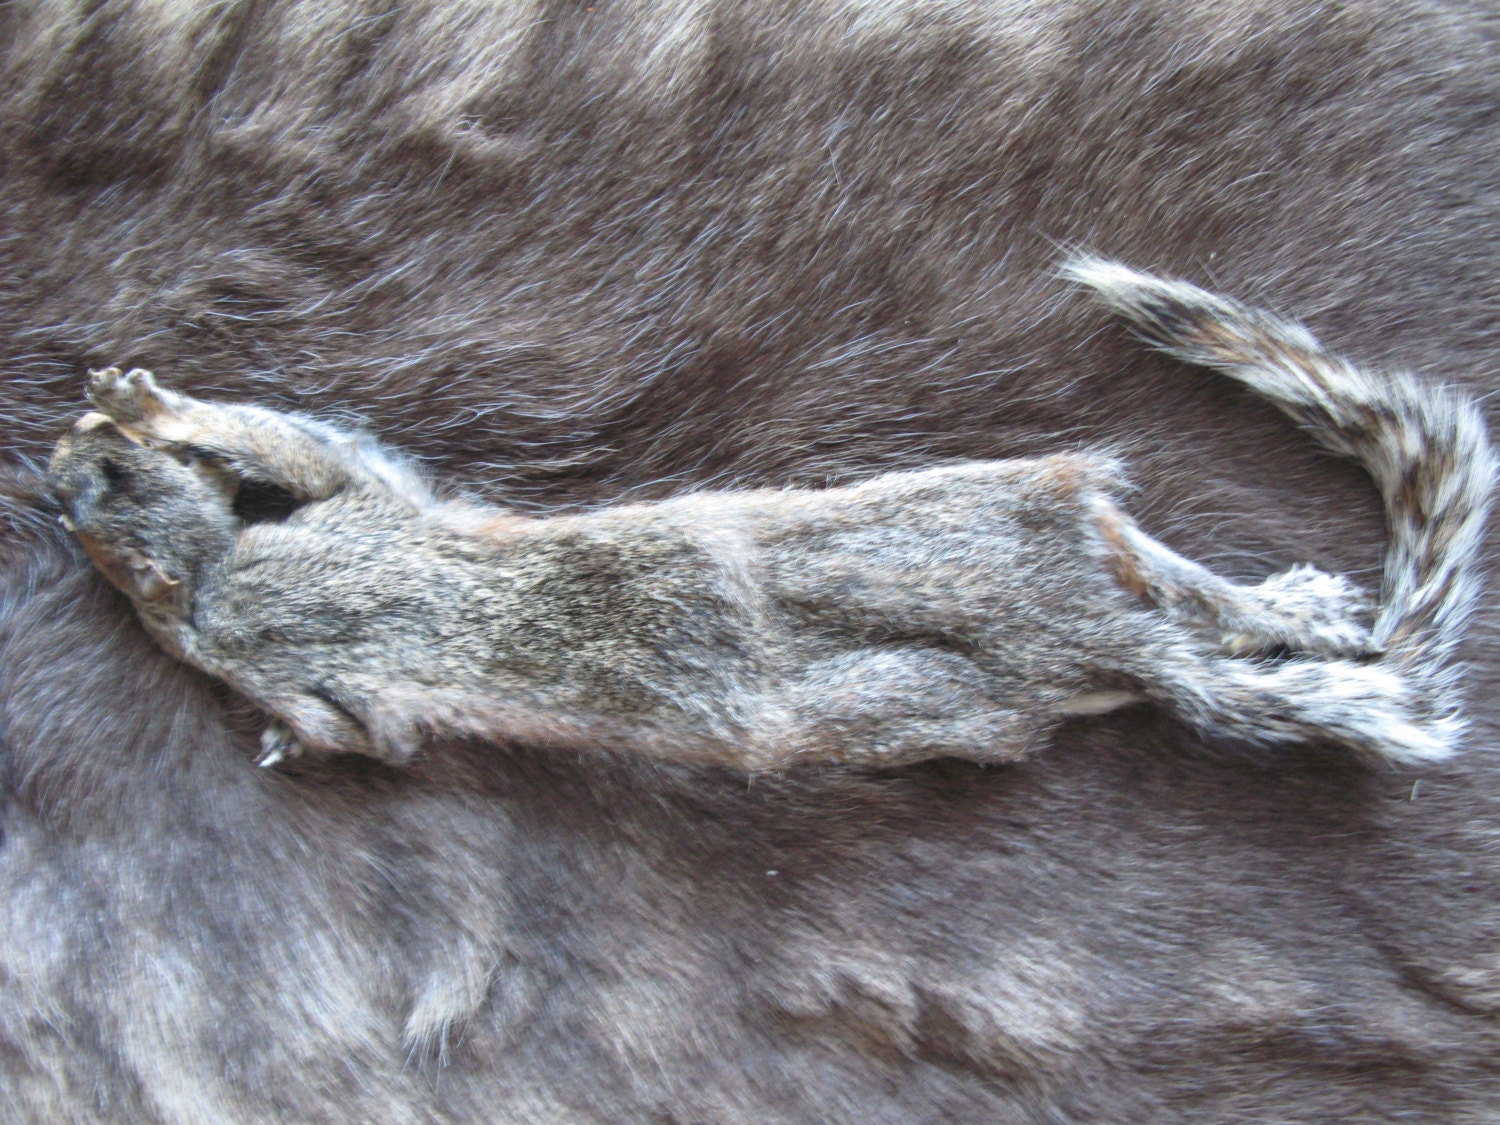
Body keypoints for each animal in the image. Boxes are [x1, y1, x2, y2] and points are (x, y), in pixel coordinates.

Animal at [45, 261, 1495, 771]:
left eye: (97, 502)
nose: (50, 460)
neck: (215, 581)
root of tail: (1088, 630)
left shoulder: (343, 538)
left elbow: (297, 449)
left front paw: (146, 399)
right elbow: (374, 726)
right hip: (1035, 556)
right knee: (1194, 590)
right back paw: (1297, 606)